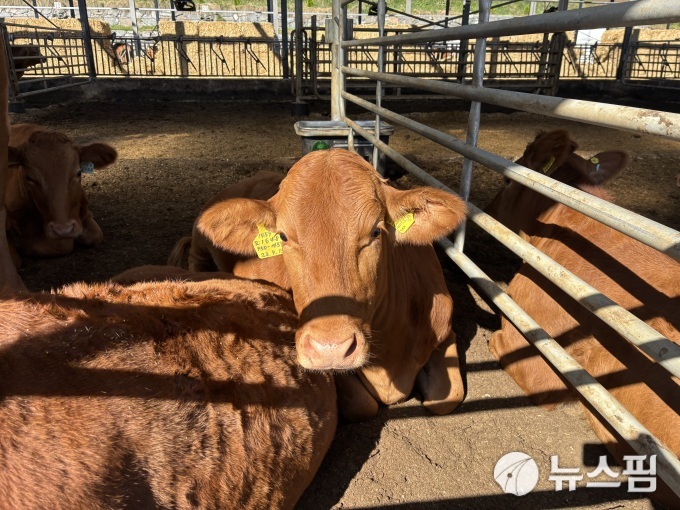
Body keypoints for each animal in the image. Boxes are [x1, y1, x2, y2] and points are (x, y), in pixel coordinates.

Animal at [170, 149, 468, 422]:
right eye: (283, 236)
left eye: (375, 231)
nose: (331, 348)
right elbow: (363, 405)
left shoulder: (446, 332)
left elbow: (447, 399)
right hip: (201, 239)